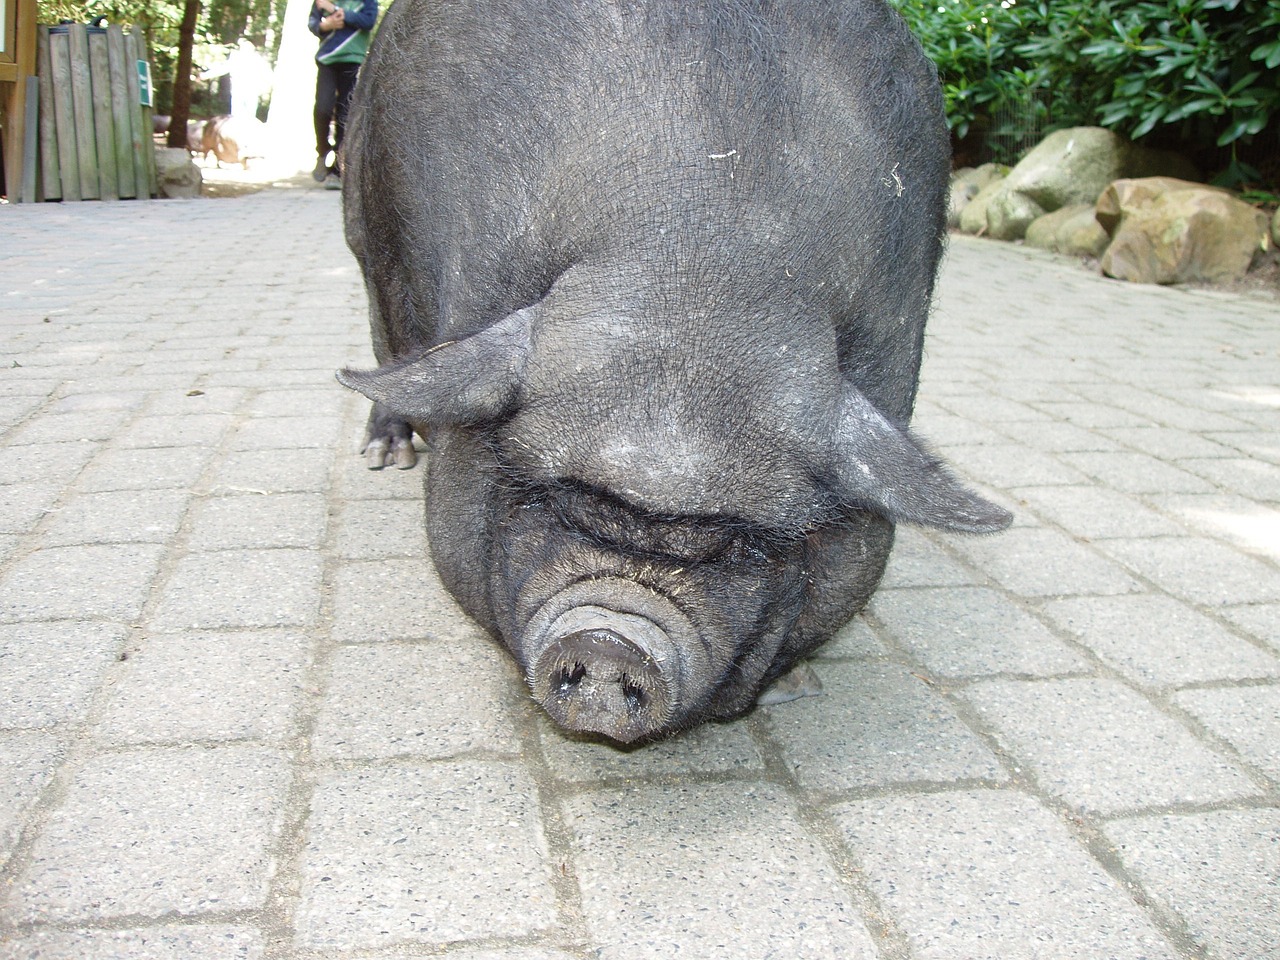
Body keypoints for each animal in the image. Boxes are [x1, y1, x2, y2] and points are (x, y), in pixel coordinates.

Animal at [336, 0, 1011, 744]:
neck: (701, 268)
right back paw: (387, 454)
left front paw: (796, 687)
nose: (610, 642)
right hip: (363, 216)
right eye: (556, 500)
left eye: (742, 545)